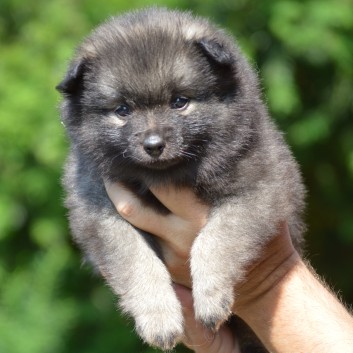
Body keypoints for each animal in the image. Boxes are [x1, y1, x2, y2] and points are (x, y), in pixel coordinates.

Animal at [56, 6, 304, 350]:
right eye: (122, 110)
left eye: (179, 101)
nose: (153, 145)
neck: (165, 177)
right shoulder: (99, 212)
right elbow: (136, 261)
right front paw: (159, 317)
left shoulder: (259, 189)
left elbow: (214, 240)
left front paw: (211, 296)